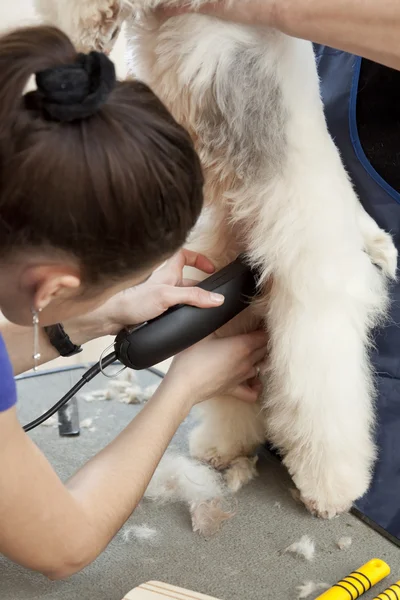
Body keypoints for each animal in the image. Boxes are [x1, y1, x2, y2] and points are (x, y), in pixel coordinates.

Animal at [34, 0, 396, 516]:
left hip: (311, 316)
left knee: (326, 404)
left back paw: (330, 491)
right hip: (231, 309)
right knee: (237, 403)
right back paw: (224, 448)